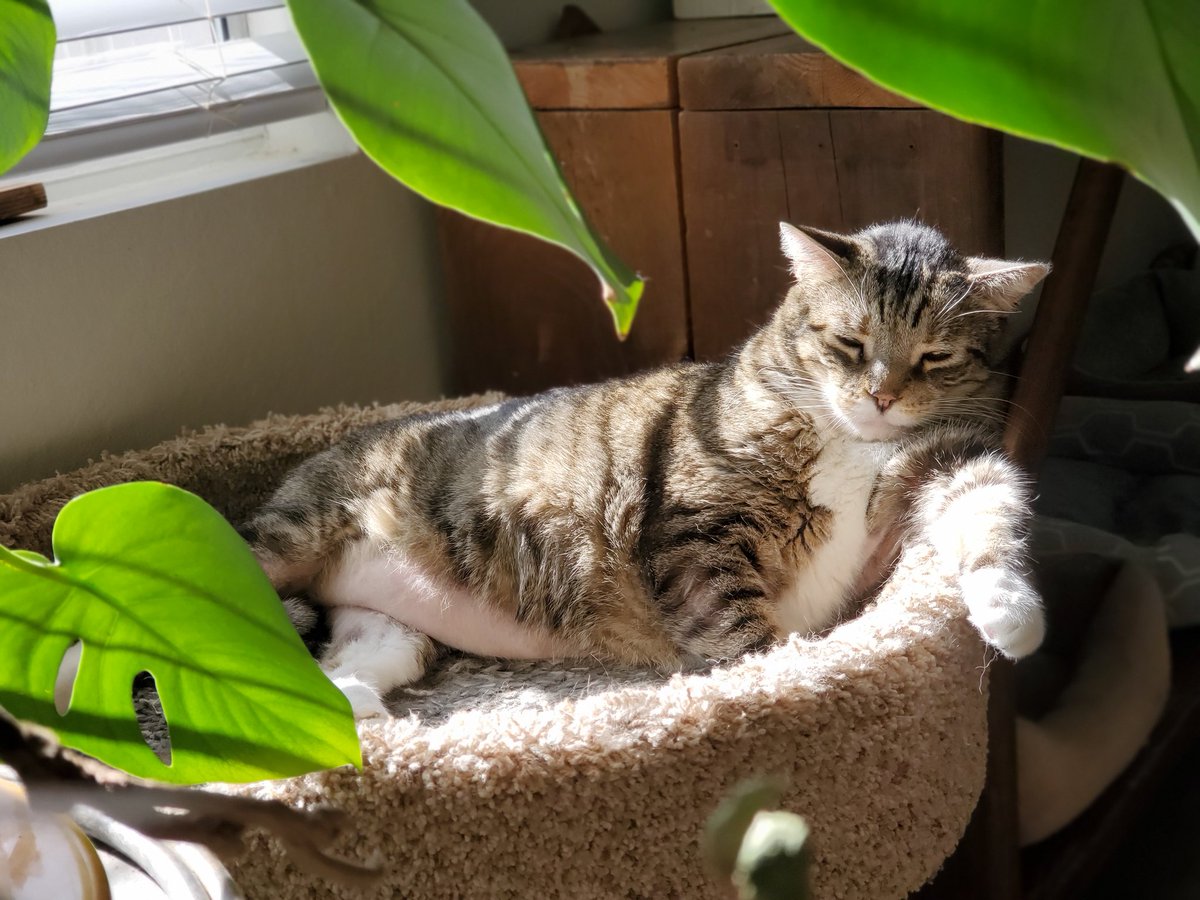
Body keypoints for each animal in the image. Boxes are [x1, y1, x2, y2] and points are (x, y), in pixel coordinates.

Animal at [243, 222, 1051, 724]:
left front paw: (1011, 614)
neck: (853, 441)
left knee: (336, 664)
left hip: (393, 635)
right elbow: (741, 635)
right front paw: (778, 682)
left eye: (935, 358)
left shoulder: (947, 457)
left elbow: (986, 506)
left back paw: (353, 716)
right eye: (850, 343)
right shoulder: (697, 534)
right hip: (284, 541)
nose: (882, 396)